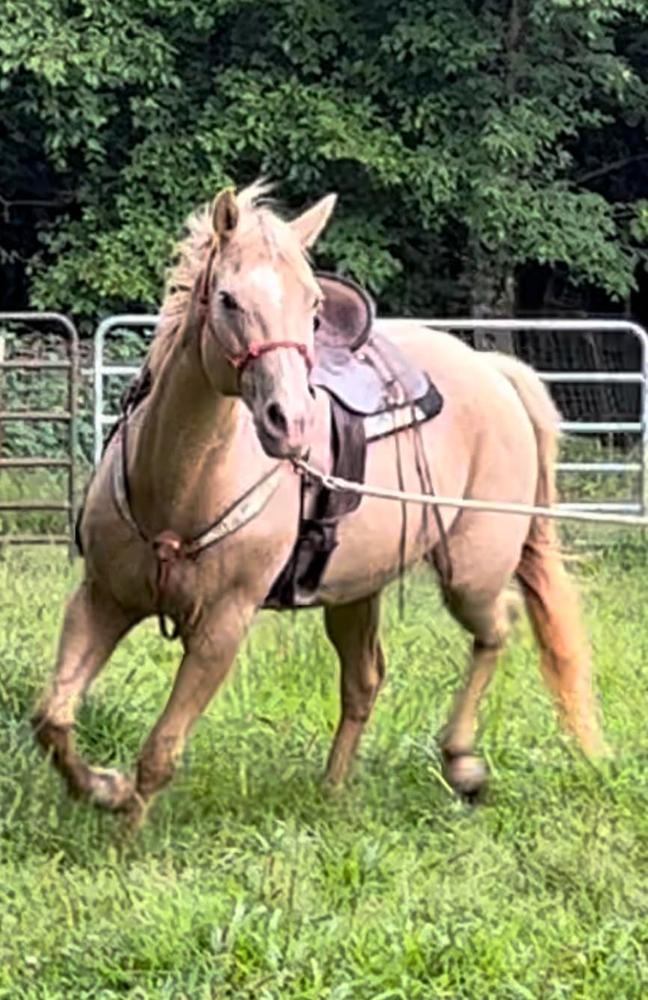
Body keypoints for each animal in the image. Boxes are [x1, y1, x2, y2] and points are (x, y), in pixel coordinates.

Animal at [32, 182, 605, 826]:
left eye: (312, 307)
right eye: (228, 299)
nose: (292, 422)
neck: (178, 488)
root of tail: (495, 372)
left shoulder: (222, 628)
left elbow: (159, 751)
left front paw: (125, 830)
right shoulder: (102, 598)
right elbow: (52, 717)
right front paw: (101, 788)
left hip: (471, 573)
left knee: (499, 624)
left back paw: (462, 763)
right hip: (355, 589)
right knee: (366, 678)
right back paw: (332, 789)